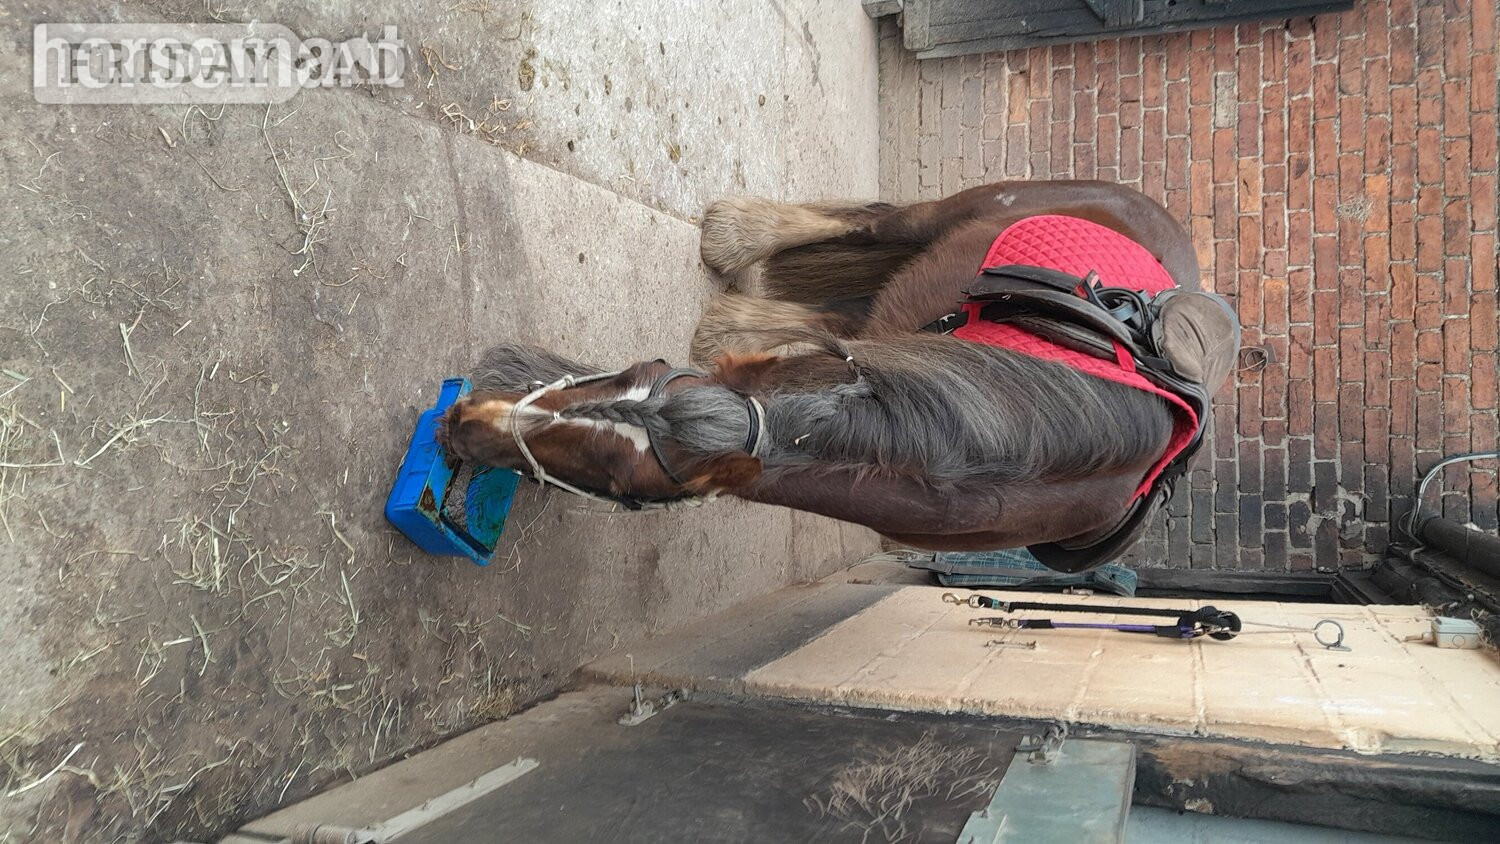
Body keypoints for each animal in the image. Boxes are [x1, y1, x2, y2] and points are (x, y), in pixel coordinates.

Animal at [437, 181, 1239, 564]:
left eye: (617, 483)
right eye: (625, 372)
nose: (461, 424)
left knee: (848, 288)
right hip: (956, 216)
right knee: (875, 227)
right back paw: (740, 241)